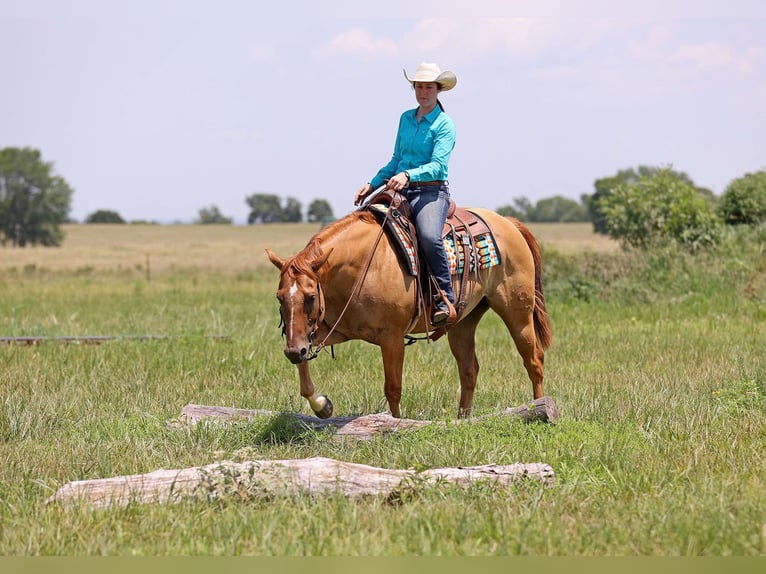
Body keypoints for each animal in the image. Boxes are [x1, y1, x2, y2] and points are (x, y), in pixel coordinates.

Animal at [265, 207, 552, 420]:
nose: (292, 351)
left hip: (517, 313)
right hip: (463, 323)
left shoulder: (391, 338)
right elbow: (305, 378)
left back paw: (539, 409)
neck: (363, 265)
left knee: (534, 360)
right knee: (469, 369)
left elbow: (393, 388)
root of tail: (508, 223)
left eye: (311, 297)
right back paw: (463, 419)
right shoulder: (327, 329)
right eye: (280, 298)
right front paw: (322, 406)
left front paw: (393, 425)